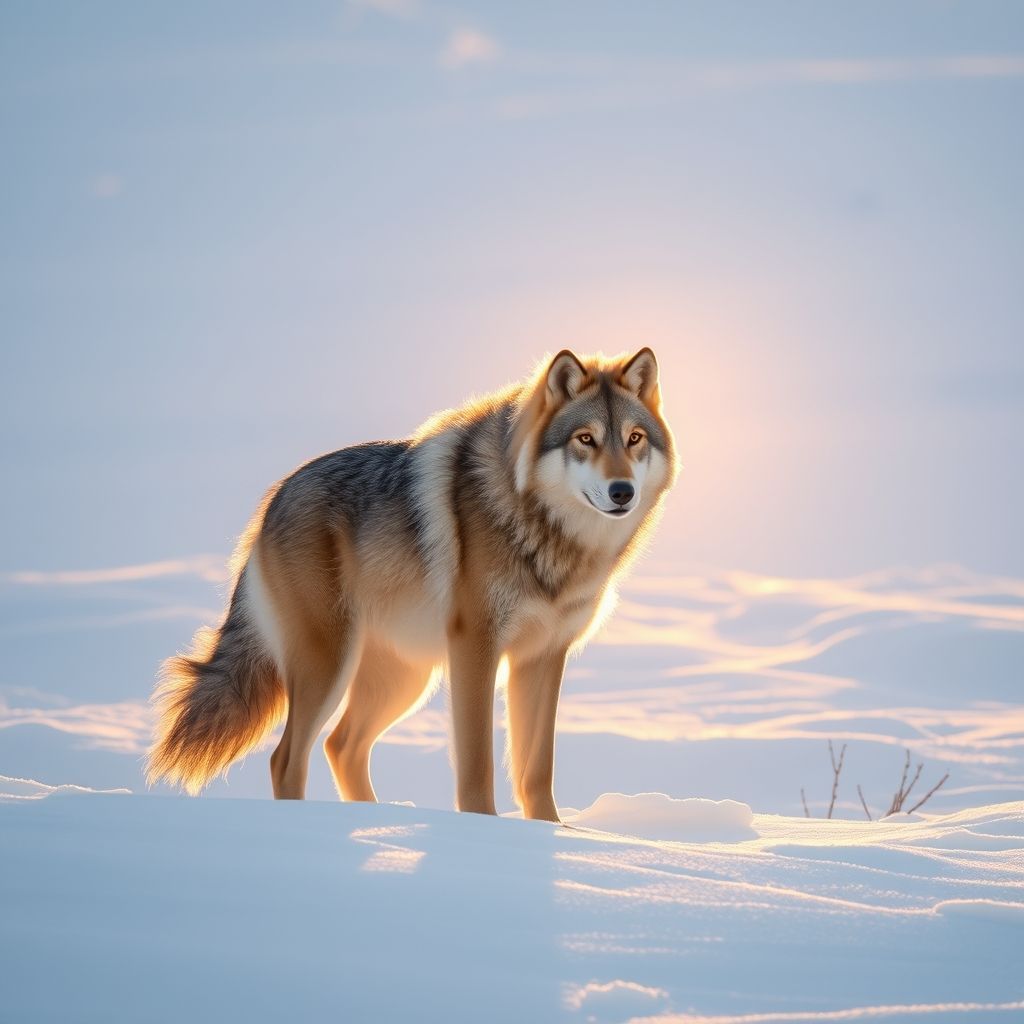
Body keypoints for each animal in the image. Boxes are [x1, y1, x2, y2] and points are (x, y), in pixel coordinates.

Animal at [146, 348, 677, 820]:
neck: (548, 533)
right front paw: (483, 830)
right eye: (585, 439)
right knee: (287, 759)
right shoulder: (476, 646)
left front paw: (549, 835)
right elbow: (477, 766)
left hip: (405, 679)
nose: (622, 491)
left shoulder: (542, 656)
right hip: (333, 666)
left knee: (341, 746)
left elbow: (535, 772)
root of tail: (271, 501)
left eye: (633, 438)